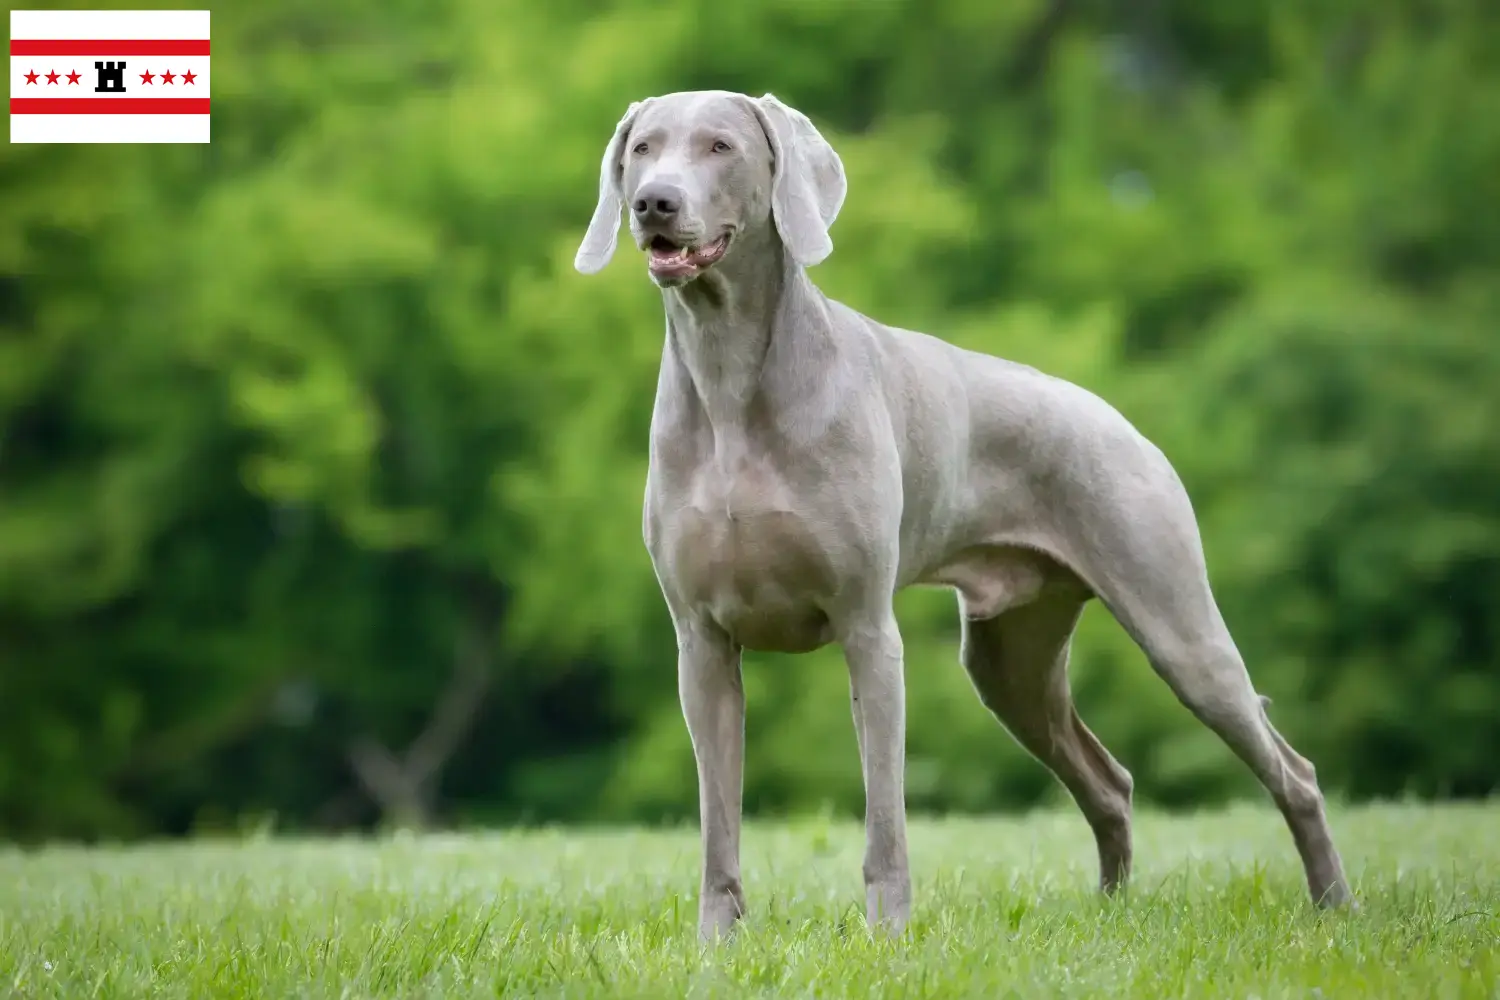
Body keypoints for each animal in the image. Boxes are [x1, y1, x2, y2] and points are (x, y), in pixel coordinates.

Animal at [567, 89, 1356, 941]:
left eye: (720, 146)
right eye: (642, 149)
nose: (654, 203)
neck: (729, 374)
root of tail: (1119, 418)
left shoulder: (867, 629)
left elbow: (884, 813)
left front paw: (886, 936)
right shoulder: (702, 643)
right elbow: (719, 818)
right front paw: (717, 943)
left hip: (1176, 624)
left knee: (1292, 769)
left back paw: (1334, 902)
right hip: (1011, 660)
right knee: (1108, 780)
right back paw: (1111, 913)